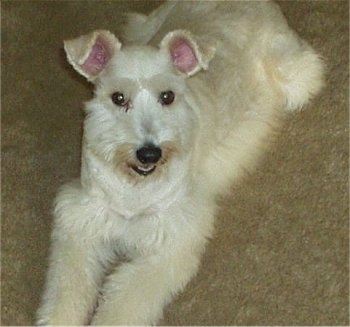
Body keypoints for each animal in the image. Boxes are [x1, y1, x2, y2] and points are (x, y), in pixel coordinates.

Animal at [37, 1, 324, 326]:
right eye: (118, 97)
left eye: (168, 96)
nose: (149, 153)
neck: (134, 188)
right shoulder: (82, 222)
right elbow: (67, 288)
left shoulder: (169, 244)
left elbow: (124, 301)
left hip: (295, 76)